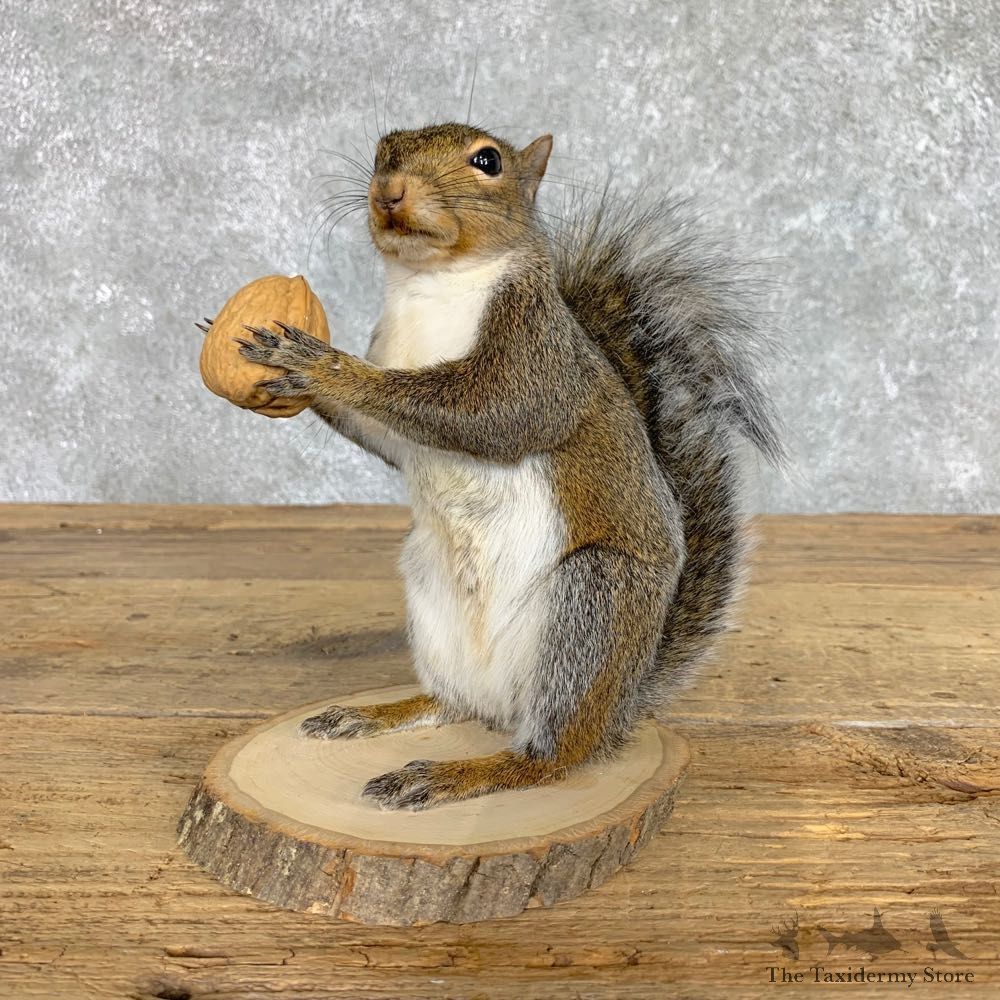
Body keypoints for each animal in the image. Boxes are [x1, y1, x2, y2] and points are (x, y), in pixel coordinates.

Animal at [236, 122, 784, 811]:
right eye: (383, 148)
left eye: (488, 161)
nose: (390, 190)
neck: (432, 285)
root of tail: (623, 705)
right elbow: (385, 437)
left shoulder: (536, 361)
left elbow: (490, 413)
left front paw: (319, 364)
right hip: (431, 597)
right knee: (452, 705)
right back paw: (376, 716)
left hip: (592, 606)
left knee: (550, 756)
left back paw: (463, 773)